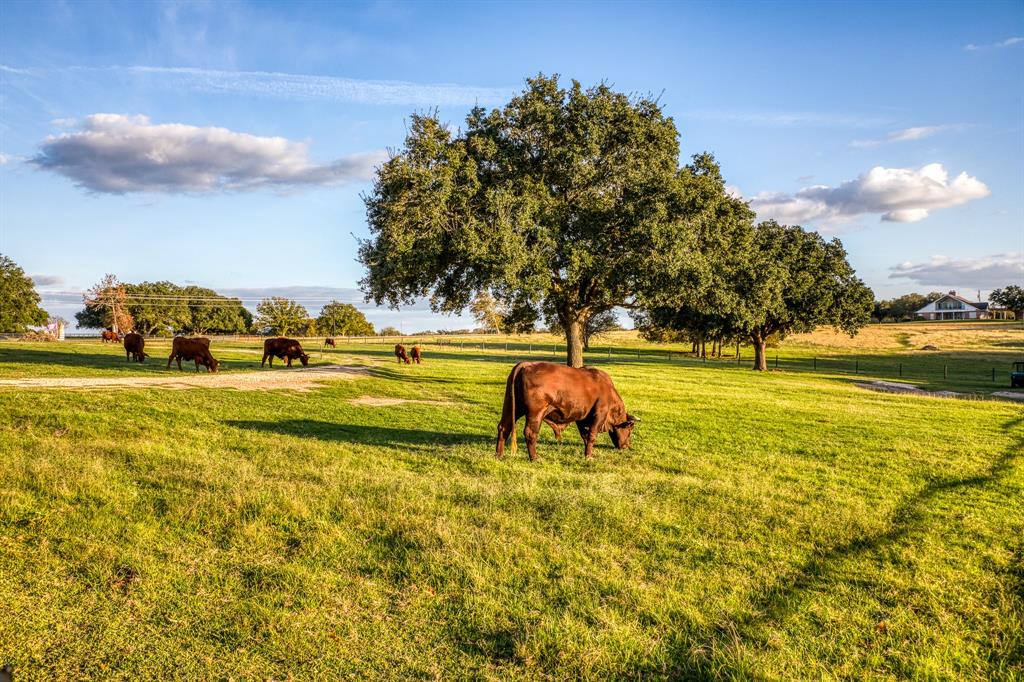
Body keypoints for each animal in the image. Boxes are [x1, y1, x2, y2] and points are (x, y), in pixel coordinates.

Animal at [493, 358, 630, 458]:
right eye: (629, 430)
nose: (627, 446)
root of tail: (525, 365)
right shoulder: (600, 414)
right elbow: (591, 435)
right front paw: (589, 456)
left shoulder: (581, 418)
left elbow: (585, 436)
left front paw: (586, 452)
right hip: (535, 413)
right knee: (530, 433)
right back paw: (534, 458)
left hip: (512, 408)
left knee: (504, 427)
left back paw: (499, 455)